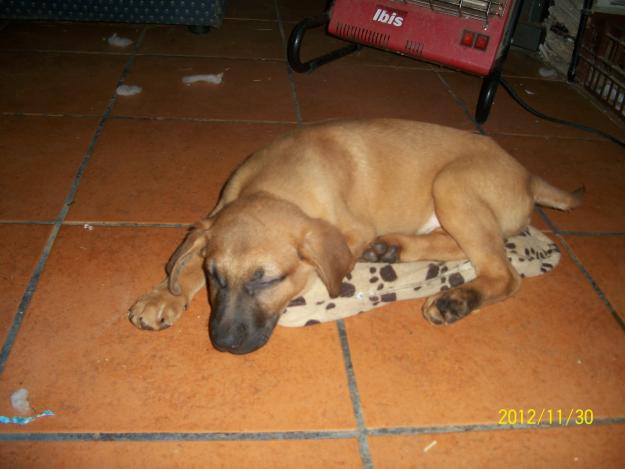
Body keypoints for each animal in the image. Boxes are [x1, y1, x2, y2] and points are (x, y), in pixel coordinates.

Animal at [129, 119, 584, 352]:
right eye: (215, 278)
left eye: (268, 281)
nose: (222, 343)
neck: (274, 185)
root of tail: (528, 176)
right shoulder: (212, 219)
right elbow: (185, 263)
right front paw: (162, 296)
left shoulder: (349, 229)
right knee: (458, 246)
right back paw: (391, 249)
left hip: (453, 183)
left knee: (503, 273)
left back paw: (454, 299)